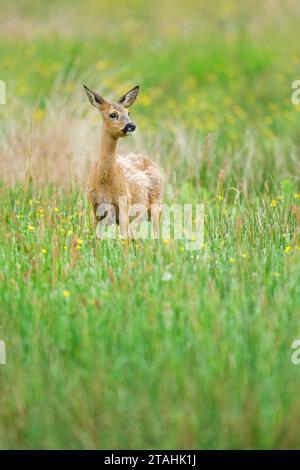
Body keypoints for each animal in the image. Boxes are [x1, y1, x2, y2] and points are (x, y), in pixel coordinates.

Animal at [83, 85, 164, 237]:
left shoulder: (124, 203)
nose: (131, 125)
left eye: (129, 112)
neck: (104, 181)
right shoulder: (95, 208)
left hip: (157, 202)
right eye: (113, 114)